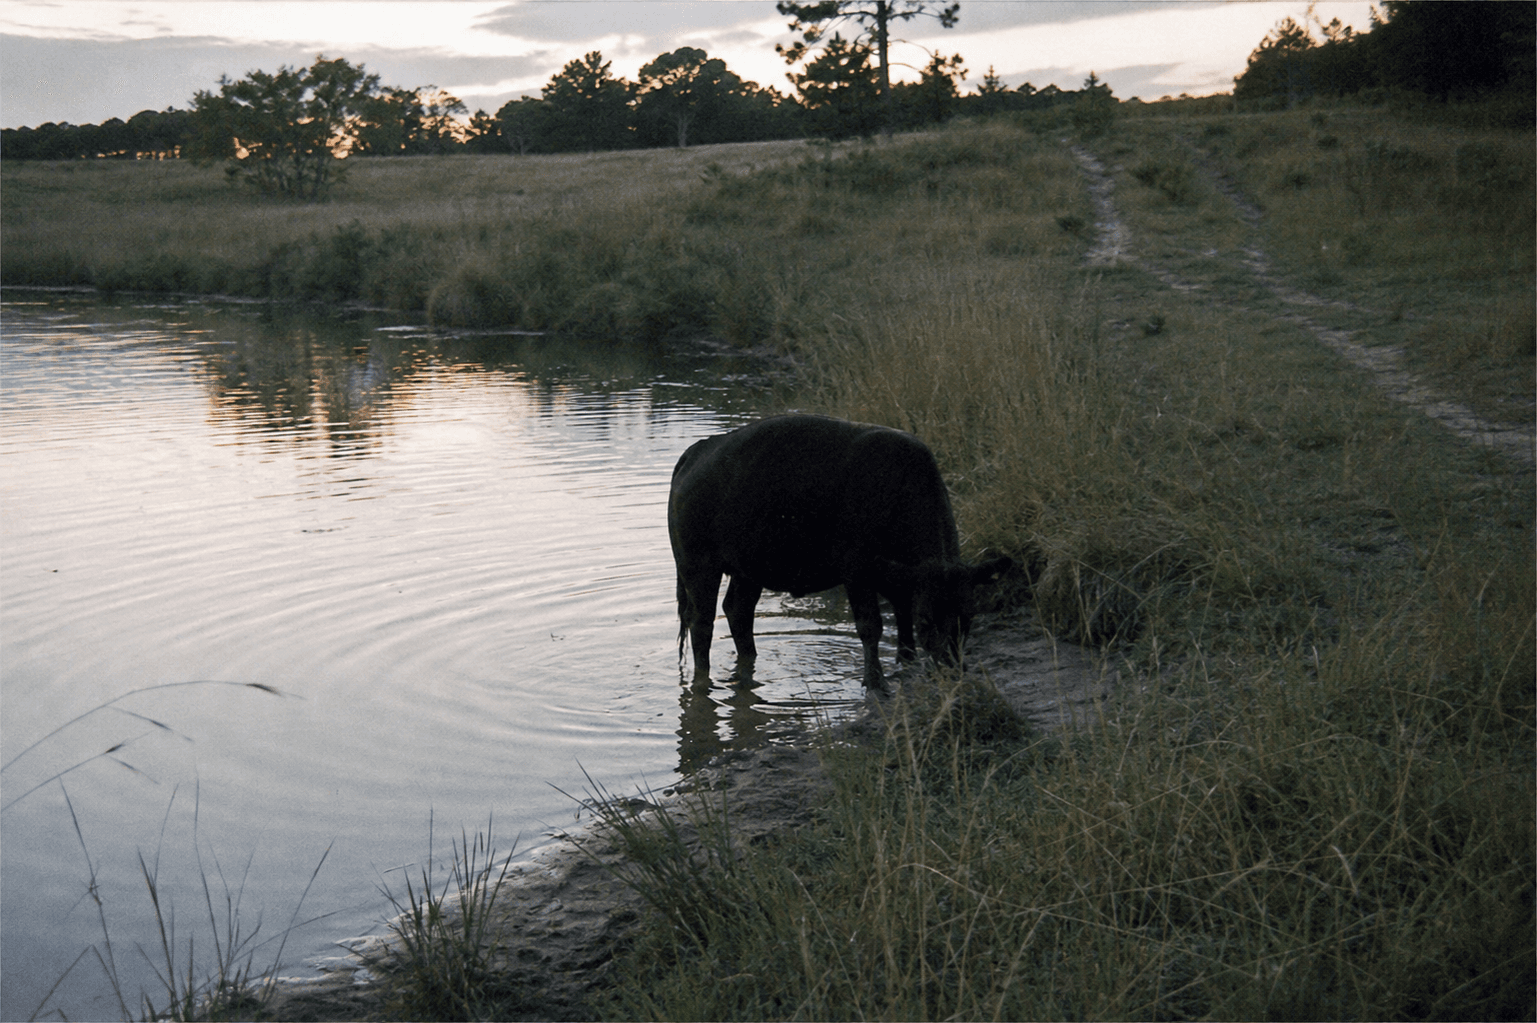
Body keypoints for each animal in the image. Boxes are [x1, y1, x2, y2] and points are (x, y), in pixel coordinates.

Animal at [667, 414, 1012, 689]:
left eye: (967, 616)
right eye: (926, 621)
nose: (951, 669)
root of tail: (697, 451)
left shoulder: (898, 576)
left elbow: (901, 613)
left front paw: (906, 660)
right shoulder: (857, 570)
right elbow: (871, 625)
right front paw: (875, 681)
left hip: (748, 568)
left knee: (738, 611)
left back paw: (749, 664)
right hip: (698, 567)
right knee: (702, 624)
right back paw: (703, 680)